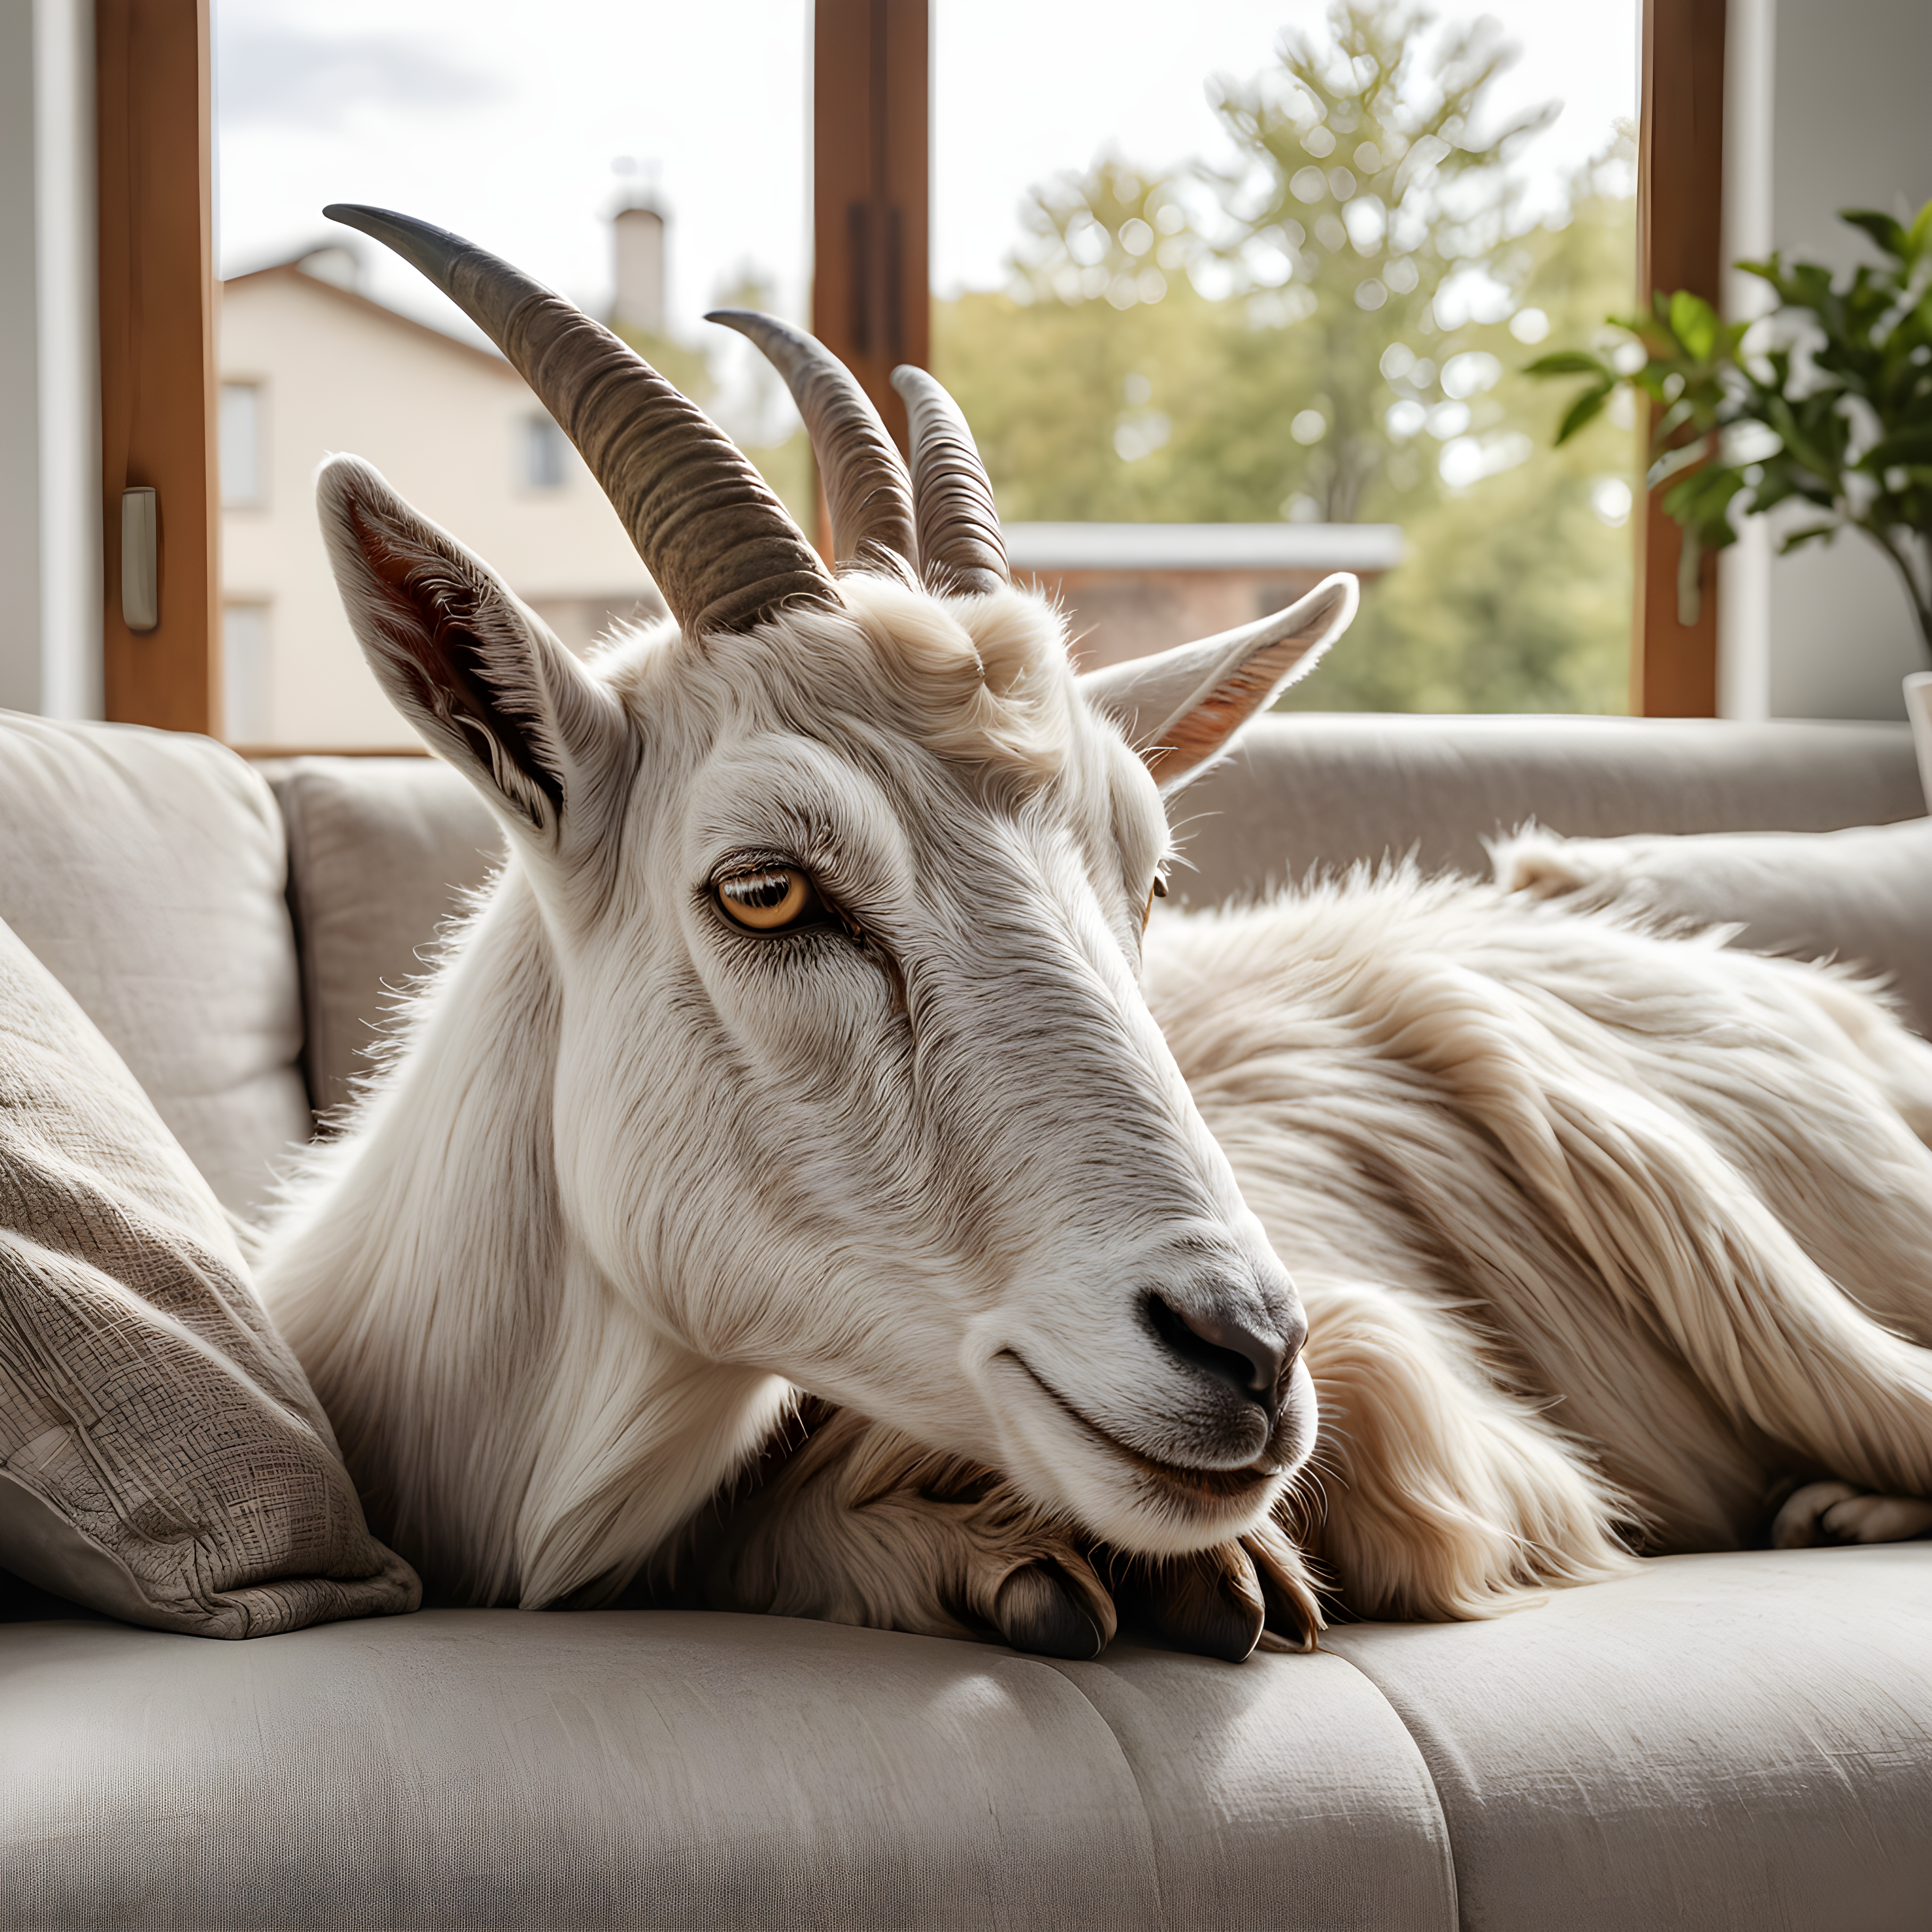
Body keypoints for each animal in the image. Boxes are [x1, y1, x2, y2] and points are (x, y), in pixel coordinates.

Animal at [259, 206, 1932, 1664]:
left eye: (1152, 882)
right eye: (765, 887)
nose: (1247, 1352)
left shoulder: (1448, 1422)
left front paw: (1210, 1569)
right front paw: (1047, 1567)